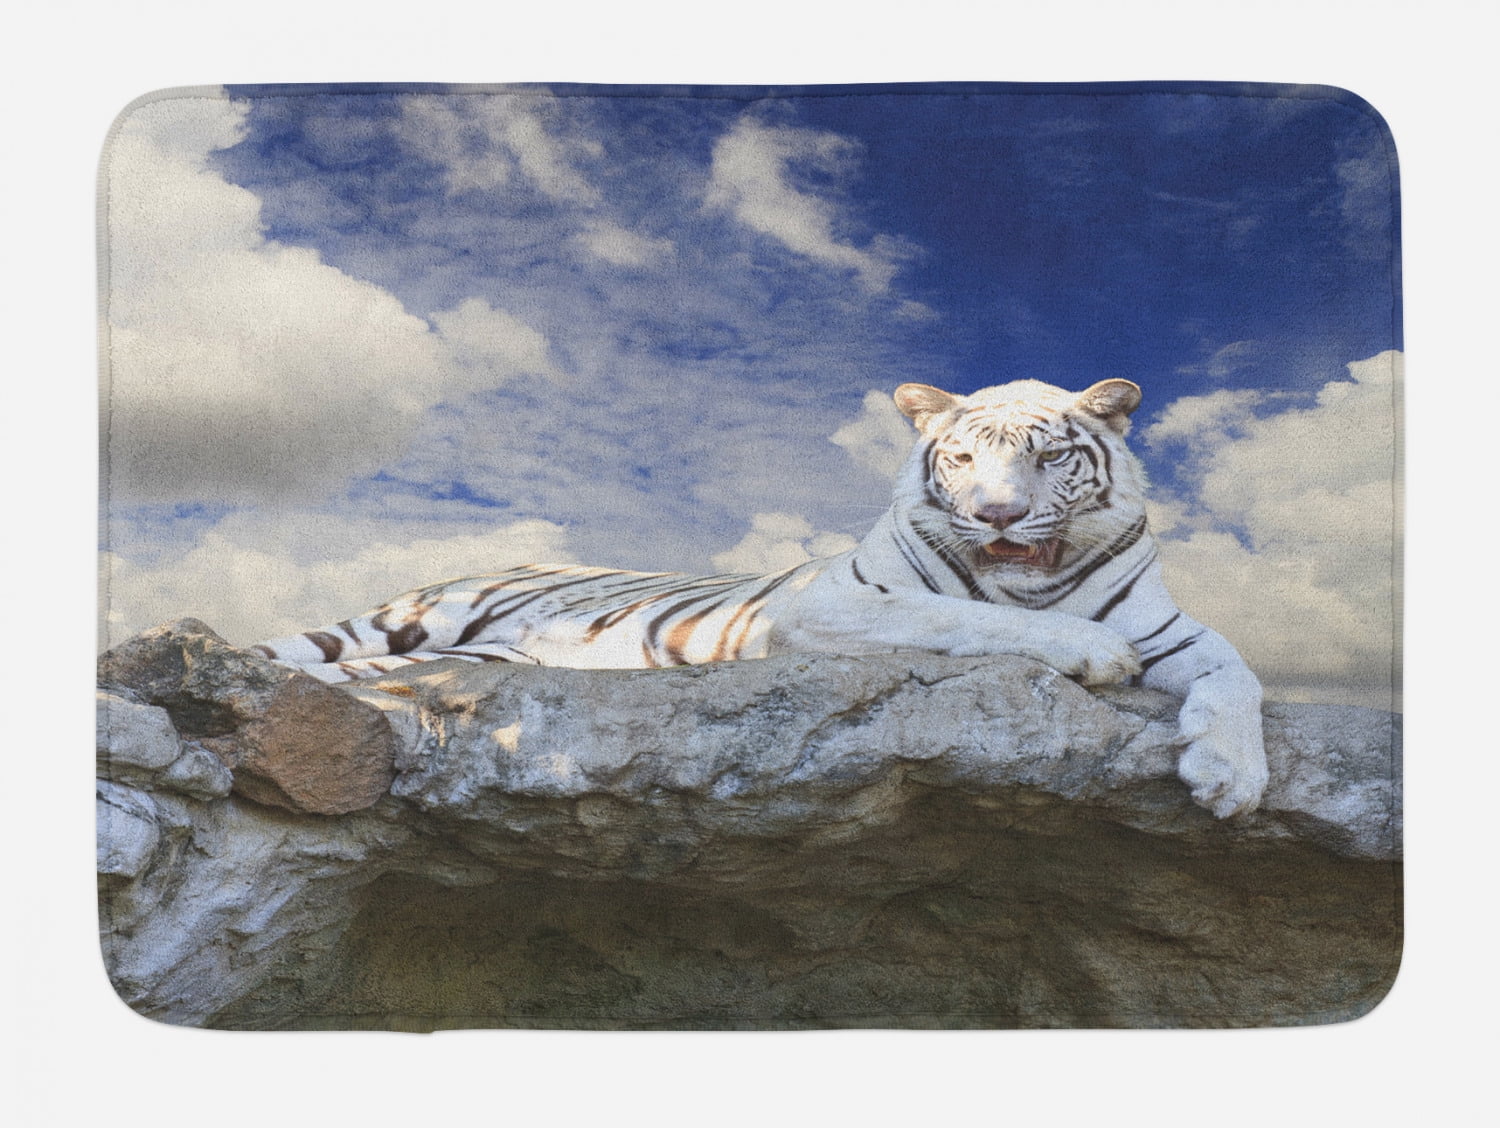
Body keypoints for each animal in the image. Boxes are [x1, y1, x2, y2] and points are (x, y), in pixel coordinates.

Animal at [254, 378, 1269, 818]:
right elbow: (967, 613)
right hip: (411, 616)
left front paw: (1231, 776)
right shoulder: (835, 606)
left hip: (464, 657)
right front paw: (1090, 656)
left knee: (378, 683)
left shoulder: (1177, 630)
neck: (1036, 579)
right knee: (289, 654)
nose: (998, 514)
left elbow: (1239, 676)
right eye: (961, 457)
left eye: (1051, 455)